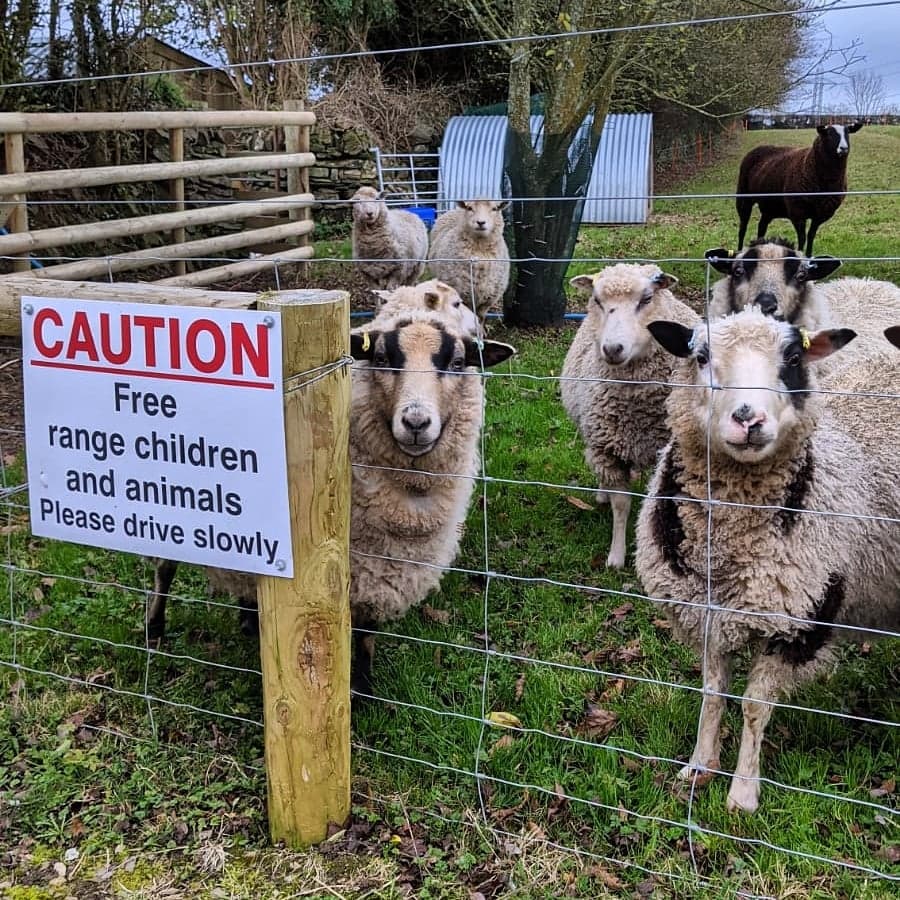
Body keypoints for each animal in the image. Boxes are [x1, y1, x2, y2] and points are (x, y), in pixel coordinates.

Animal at [147, 309, 516, 694]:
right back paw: (154, 628)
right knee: (164, 568)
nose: (415, 422)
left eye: (458, 362)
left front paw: (364, 686)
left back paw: (248, 618)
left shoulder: (379, 571)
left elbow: (367, 632)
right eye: (381, 359)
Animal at [560, 264, 698, 569]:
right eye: (598, 301)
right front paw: (616, 556)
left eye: (646, 299)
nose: (613, 349)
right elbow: (621, 504)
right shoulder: (607, 450)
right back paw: (602, 494)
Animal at [635, 307, 900, 814]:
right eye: (701, 356)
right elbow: (712, 692)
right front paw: (698, 768)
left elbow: (755, 706)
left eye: (793, 358)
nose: (748, 418)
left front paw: (742, 794)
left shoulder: (800, 619)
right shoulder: (706, 613)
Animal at [736, 122, 863, 257]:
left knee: (761, 227)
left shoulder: (820, 214)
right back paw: (739, 251)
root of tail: (757, 148)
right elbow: (802, 238)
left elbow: (811, 235)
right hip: (744, 197)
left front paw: (809, 256)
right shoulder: (797, 211)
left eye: (848, 132)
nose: (843, 148)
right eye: (828, 133)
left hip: (769, 205)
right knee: (742, 227)